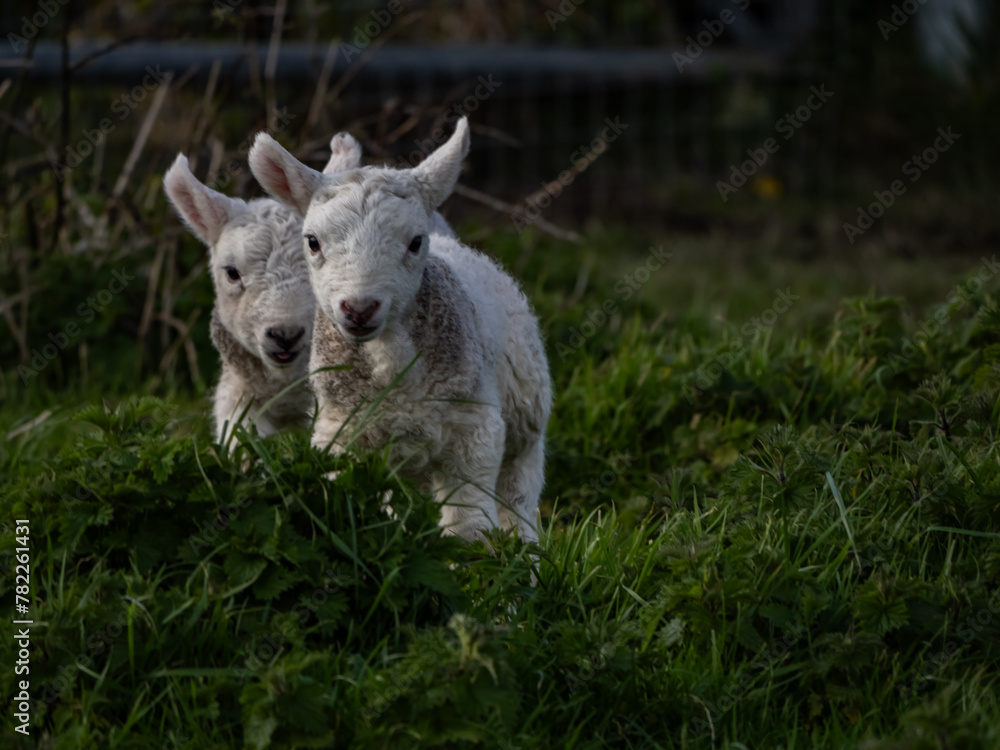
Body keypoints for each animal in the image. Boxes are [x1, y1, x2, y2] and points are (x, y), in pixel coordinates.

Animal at [246, 117, 552, 544]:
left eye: (415, 242)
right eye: (312, 242)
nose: (359, 308)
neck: (391, 363)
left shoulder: (475, 428)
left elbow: (469, 519)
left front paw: (472, 557)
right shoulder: (339, 433)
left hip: (526, 414)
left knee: (519, 492)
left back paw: (526, 554)